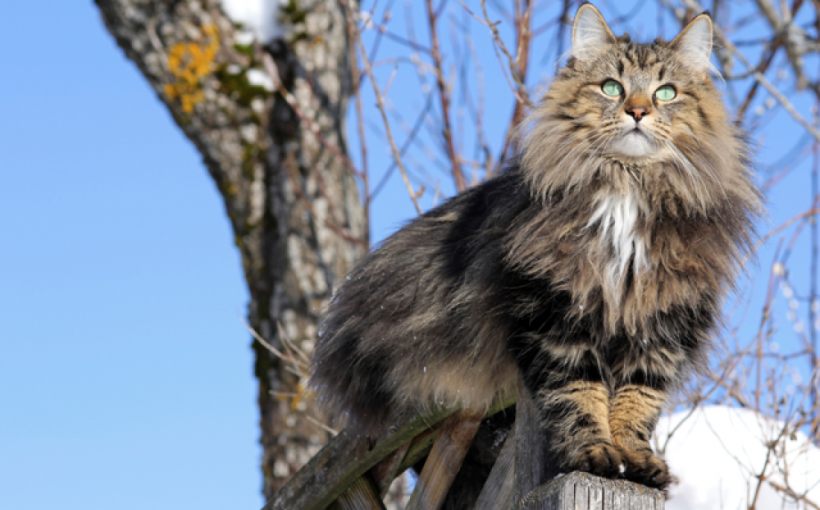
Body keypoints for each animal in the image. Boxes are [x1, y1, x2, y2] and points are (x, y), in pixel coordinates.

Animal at [310, 1, 764, 502]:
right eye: (612, 87)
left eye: (666, 93)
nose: (638, 110)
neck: (628, 187)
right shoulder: (555, 317)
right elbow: (579, 398)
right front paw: (595, 455)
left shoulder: (659, 328)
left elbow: (637, 404)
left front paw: (636, 462)